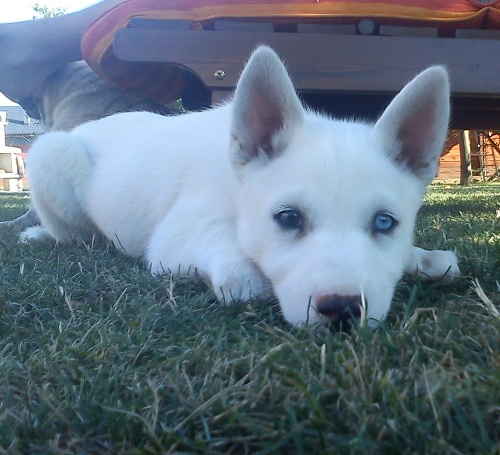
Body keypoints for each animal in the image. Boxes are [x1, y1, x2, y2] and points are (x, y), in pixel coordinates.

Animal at [21, 46, 458, 330]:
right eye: (289, 218)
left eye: (385, 223)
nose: (343, 310)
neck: (236, 184)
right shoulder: (172, 238)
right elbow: (226, 244)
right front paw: (244, 271)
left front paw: (421, 258)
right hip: (50, 157)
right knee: (74, 234)